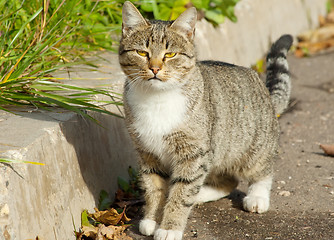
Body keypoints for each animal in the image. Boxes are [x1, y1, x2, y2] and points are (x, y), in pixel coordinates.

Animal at [118, 2, 290, 240]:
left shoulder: (193, 154)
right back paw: (199, 194)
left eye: (170, 54)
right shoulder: (147, 153)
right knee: (227, 181)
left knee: (261, 170)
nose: (155, 68)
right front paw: (151, 219)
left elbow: (182, 193)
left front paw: (170, 227)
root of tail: (265, 92)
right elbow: (155, 189)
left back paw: (257, 197)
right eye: (142, 52)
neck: (156, 99)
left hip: (251, 146)